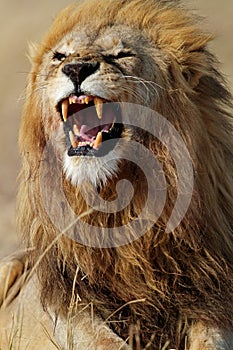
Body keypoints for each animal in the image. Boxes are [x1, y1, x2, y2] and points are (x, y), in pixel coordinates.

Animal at [0, 0, 233, 350]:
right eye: (59, 57)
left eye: (121, 55)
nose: (76, 69)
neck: (120, 198)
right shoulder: (69, 303)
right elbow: (103, 341)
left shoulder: (209, 297)